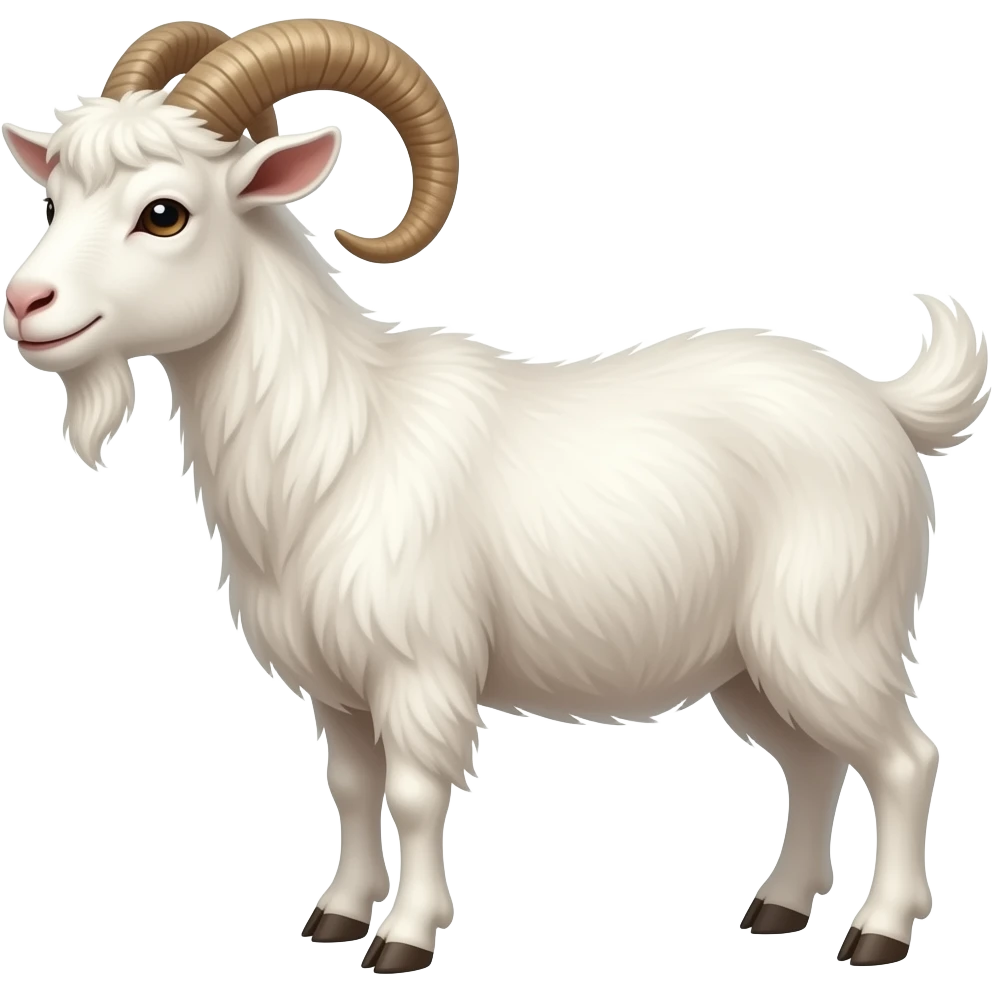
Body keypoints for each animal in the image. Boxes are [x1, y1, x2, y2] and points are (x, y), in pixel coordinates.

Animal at [2, 17, 988, 974]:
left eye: (164, 213)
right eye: (58, 198)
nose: (26, 302)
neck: (337, 441)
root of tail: (883, 407)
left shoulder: (418, 669)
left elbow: (412, 793)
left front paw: (402, 938)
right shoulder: (338, 690)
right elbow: (351, 789)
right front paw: (334, 916)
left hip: (828, 633)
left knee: (904, 759)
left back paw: (879, 933)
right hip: (752, 664)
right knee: (813, 764)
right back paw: (778, 907)